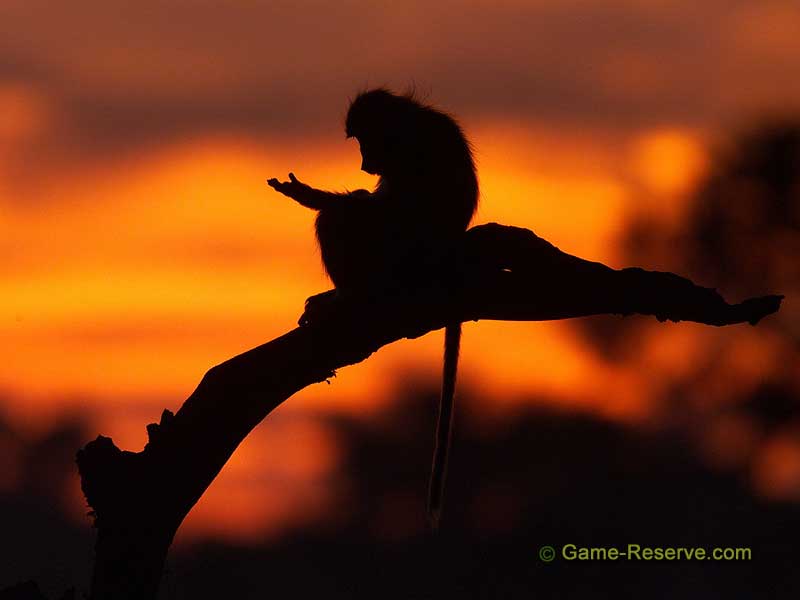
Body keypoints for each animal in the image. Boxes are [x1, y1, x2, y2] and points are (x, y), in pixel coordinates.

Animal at [268, 88, 478, 529]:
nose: (363, 163)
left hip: (398, 253)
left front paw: (310, 196)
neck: (409, 122)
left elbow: (378, 205)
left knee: (346, 216)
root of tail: (446, 254)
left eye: (365, 140)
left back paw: (349, 295)